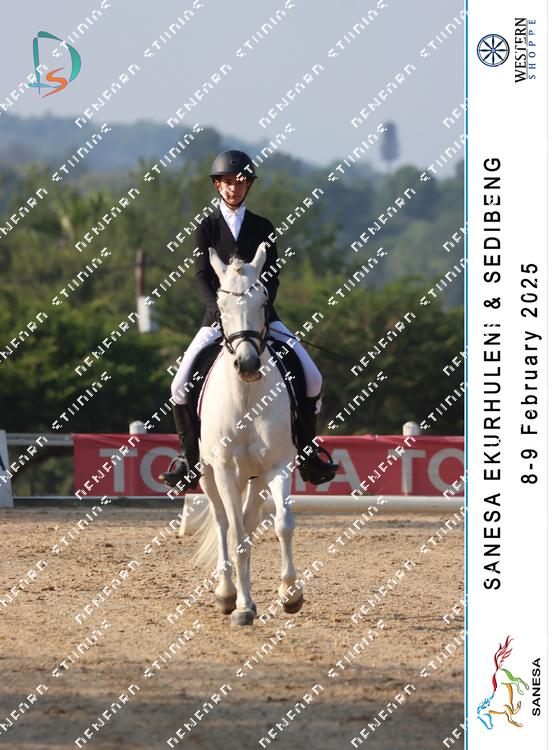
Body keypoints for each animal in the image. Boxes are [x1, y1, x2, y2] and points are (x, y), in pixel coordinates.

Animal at [191, 243, 304, 627]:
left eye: (263, 303)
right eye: (221, 307)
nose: (249, 365)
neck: (247, 397)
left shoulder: (279, 466)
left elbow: (283, 524)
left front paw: (290, 594)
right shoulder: (225, 469)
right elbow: (236, 532)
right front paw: (240, 606)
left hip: (255, 477)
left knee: (251, 520)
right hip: (209, 473)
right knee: (224, 521)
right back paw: (228, 593)